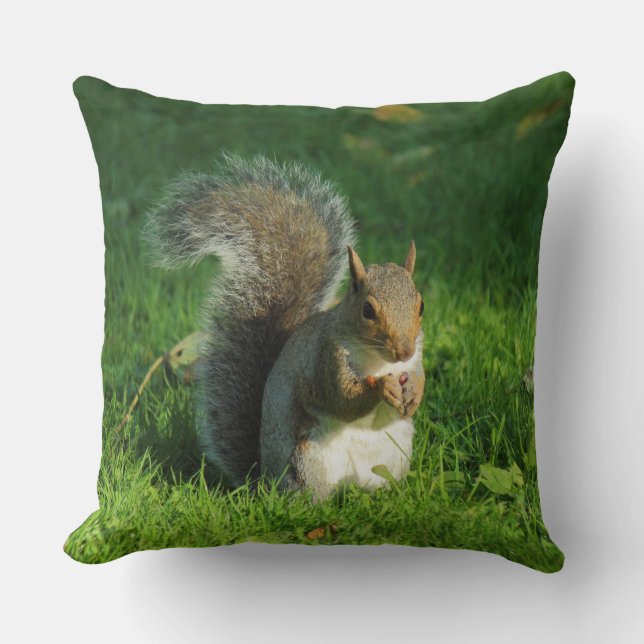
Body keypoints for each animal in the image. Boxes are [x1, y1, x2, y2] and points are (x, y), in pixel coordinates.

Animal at [145, 154, 425, 499]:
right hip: (307, 461)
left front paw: (415, 391)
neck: (379, 360)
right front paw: (382, 387)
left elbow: (418, 375)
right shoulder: (326, 359)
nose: (404, 350)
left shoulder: (416, 357)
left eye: (421, 306)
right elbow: (343, 399)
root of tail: (265, 480)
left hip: (392, 458)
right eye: (368, 310)